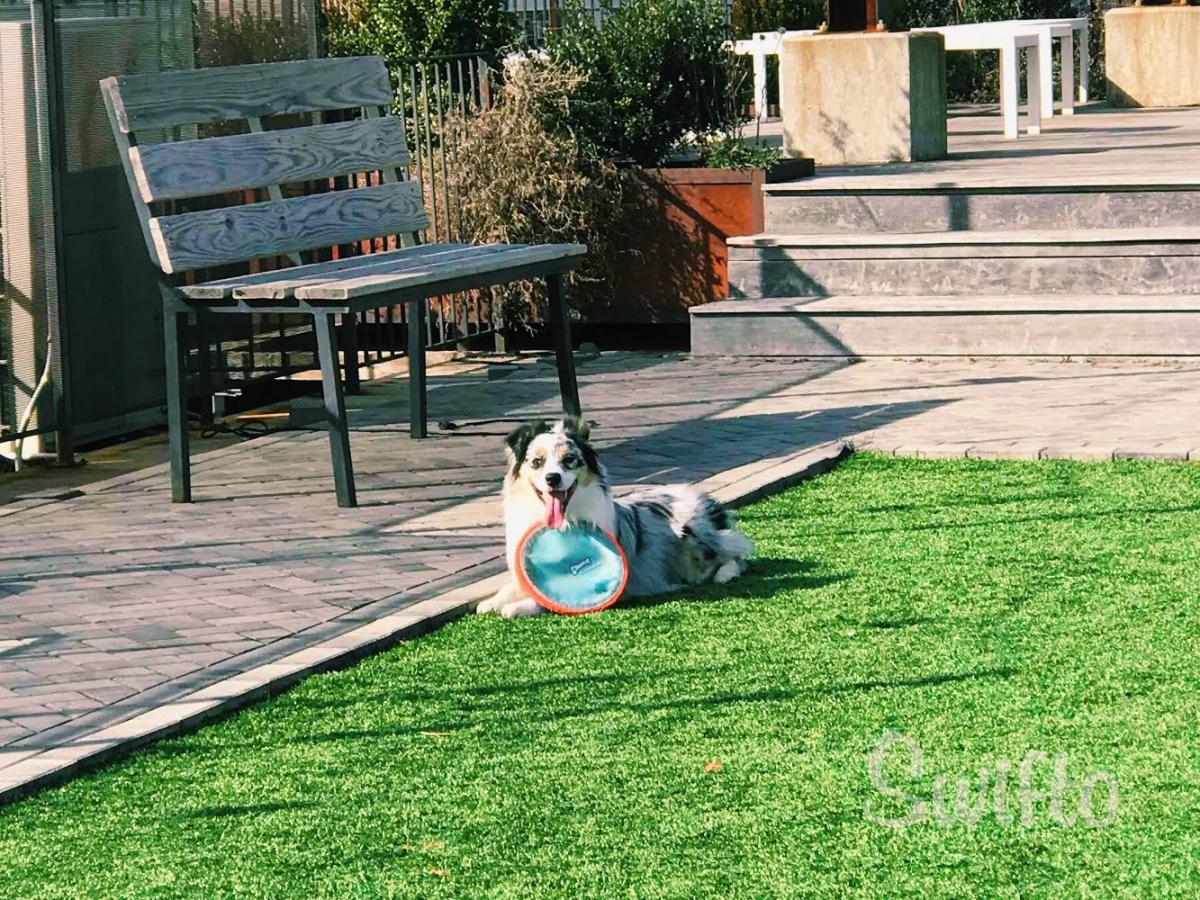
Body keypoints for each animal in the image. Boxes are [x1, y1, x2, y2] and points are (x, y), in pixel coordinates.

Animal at [477, 417, 754, 618]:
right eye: (537, 462)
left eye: (569, 460)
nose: (552, 478)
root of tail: (704, 499)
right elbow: (511, 586)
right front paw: (492, 601)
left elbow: (550, 599)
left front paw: (517, 607)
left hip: (693, 541)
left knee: (735, 556)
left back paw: (725, 574)